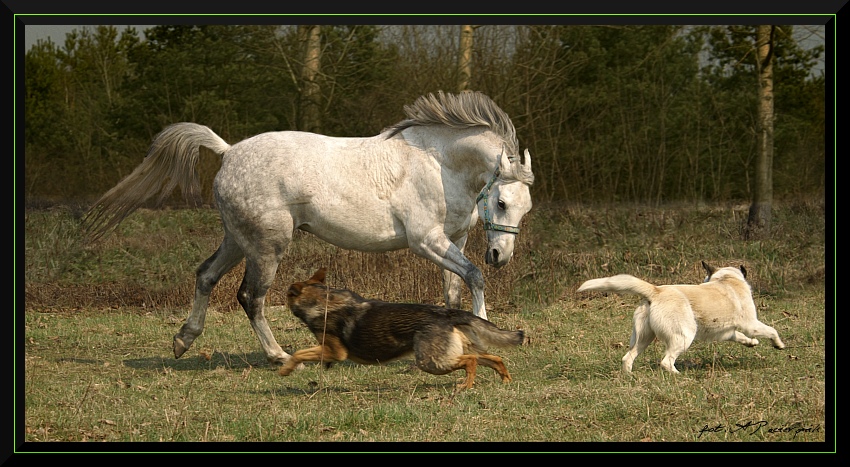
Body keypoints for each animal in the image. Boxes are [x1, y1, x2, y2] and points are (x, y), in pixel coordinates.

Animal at [88, 88, 536, 366]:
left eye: (525, 208)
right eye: (501, 202)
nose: (501, 256)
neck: (438, 165)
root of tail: (229, 151)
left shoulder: (454, 238)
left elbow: (453, 293)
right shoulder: (426, 240)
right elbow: (474, 277)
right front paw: (485, 330)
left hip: (238, 240)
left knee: (205, 276)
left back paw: (183, 340)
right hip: (267, 247)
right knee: (251, 297)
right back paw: (279, 356)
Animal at [278, 268, 524, 390]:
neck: (323, 300)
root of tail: (447, 314)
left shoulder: (333, 351)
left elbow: (299, 353)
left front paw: (285, 370)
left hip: (431, 361)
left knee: (471, 361)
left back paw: (466, 385)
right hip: (456, 351)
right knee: (494, 358)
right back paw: (505, 380)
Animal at [576, 262, 780, 374]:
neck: (727, 279)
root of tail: (656, 291)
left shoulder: (726, 333)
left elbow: (741, 337)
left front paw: (751, 343)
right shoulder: (751, 324)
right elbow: (772, 330)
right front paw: (779, 345)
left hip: (643, 338)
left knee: (628, 358)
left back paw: (629, 376)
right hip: (684, 336)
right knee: (666, 361)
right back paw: (679, 375)